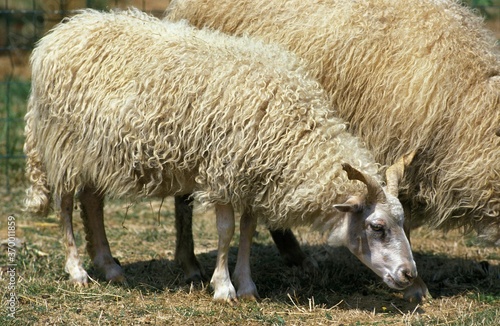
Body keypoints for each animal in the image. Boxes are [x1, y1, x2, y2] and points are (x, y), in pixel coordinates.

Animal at [23, 8, 416, 302]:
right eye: (377, 227)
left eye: (403, 222)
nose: (409, 274)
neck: (294, 129)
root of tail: (60, 32)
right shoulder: (224, 169)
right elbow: (226, 231)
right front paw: (224, 287)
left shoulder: (252, 174)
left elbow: (248, 230)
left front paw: (247, 285)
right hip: (63, 145)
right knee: (64, 204)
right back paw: (77, 270)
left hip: (97, 153)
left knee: (91, 202)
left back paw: (109, 266)